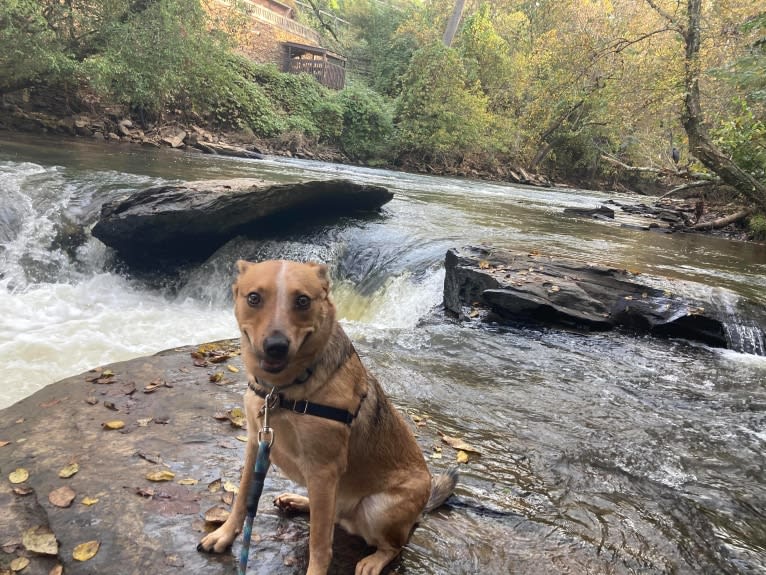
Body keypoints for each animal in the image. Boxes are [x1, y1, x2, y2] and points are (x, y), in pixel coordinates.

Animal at [198, 260, 460, 575]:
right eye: (253, 298)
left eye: (302, 300)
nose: (276, 346)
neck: (282, 391)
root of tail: (422, 509)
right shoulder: (255, 445)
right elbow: (242, 499)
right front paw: (224, 535)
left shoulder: (323, 470)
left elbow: (320, 544)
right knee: (329, 513)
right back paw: (298, 500)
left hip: (377, 508)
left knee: (393, 545)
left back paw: (374, 560)